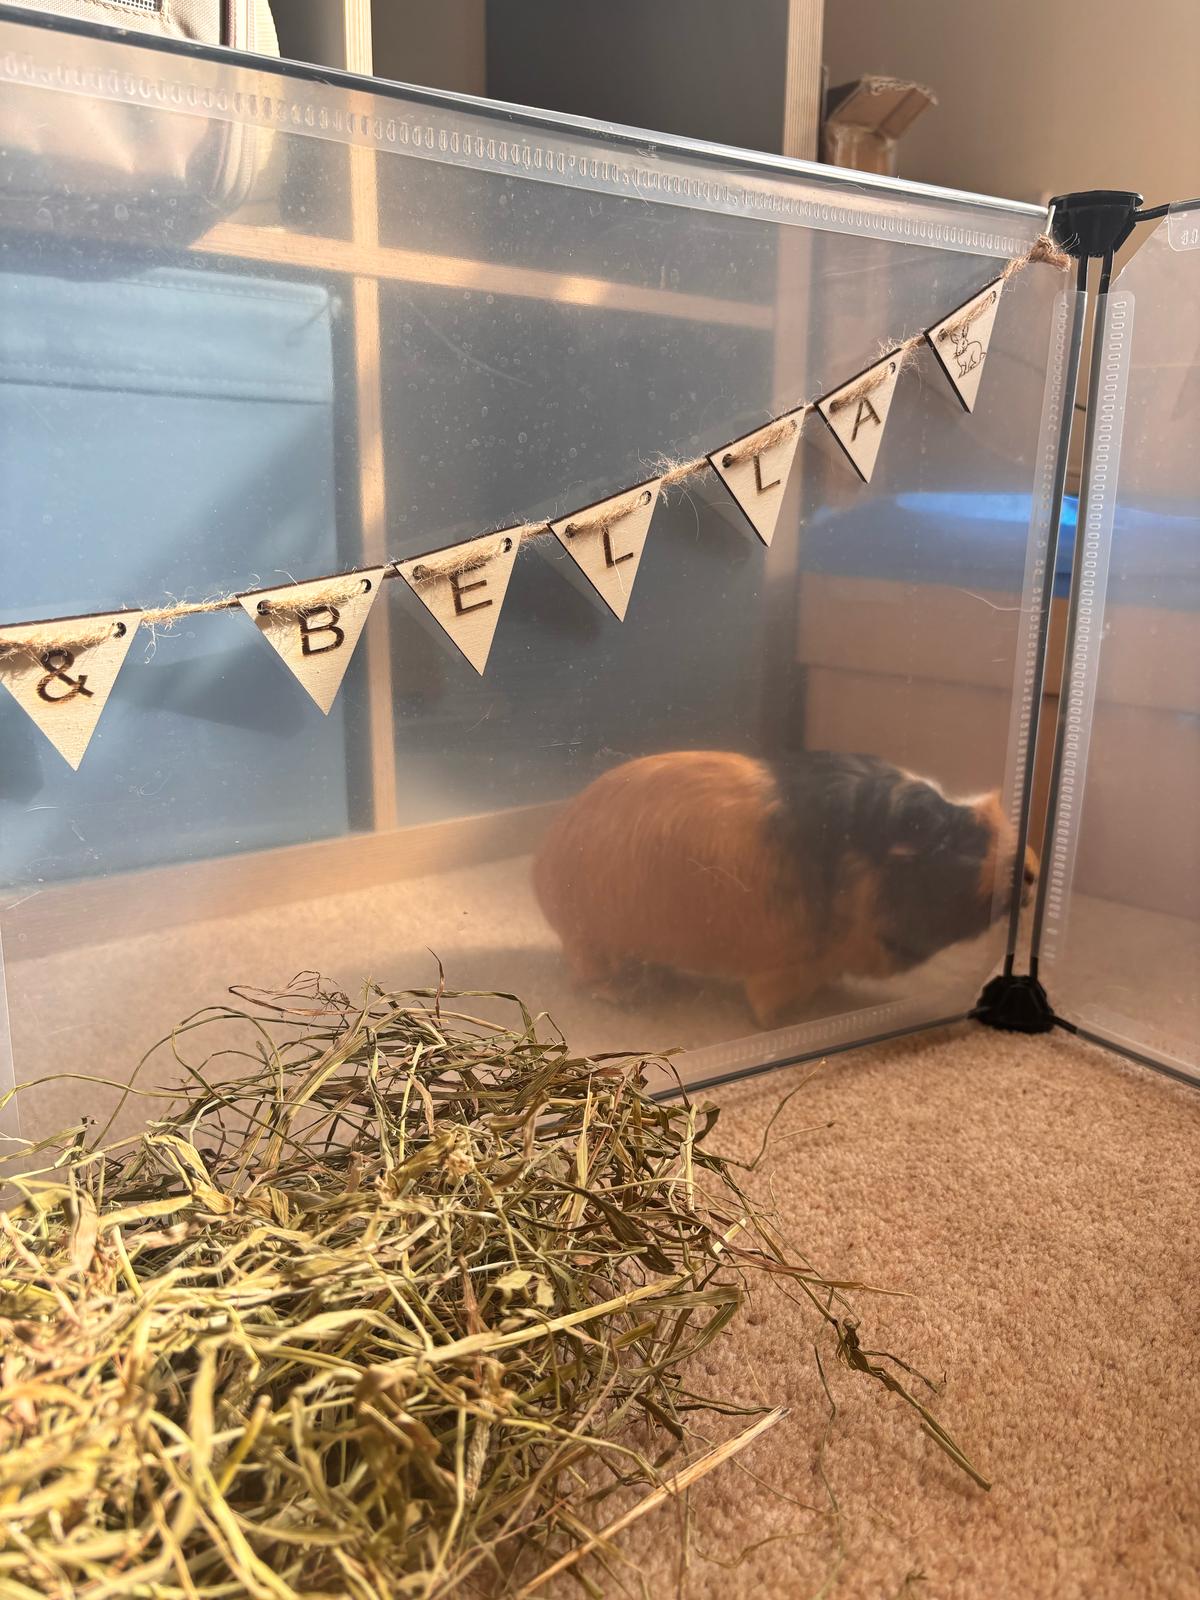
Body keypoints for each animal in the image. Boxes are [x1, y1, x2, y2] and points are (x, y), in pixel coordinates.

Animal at [533, 750, 1039, 1026]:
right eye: (967, 840)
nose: (1033, 869)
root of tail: (544, 870)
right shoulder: (785, 969)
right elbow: (767, 1006)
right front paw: (790, 1017)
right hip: (593, 943)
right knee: (587, 976)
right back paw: (625, 997)